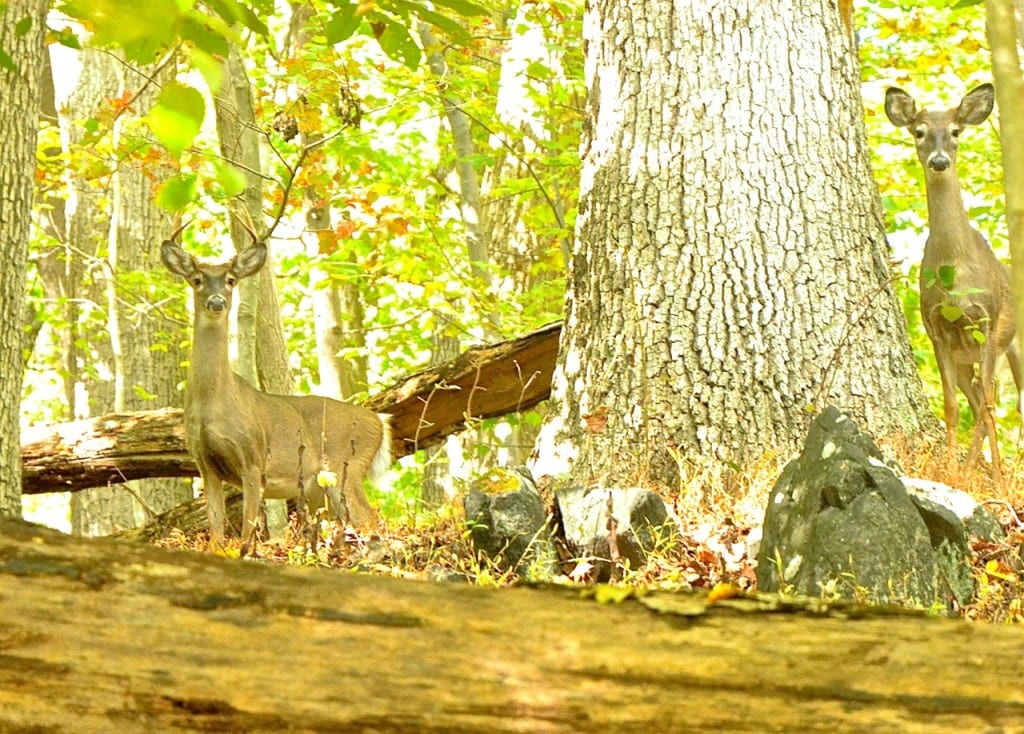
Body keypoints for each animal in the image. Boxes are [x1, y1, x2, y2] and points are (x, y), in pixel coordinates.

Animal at [161, 232, 389, 552]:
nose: (217, 302)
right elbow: (217, 532)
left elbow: (247, 532)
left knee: (371, 521)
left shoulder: (253, 458)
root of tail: (379, 421)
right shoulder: (204, 464)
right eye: (196, 279)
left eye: (230, 280)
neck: (212, 404)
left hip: (348, 466)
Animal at [884, 81, 1019, 481]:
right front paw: (951, 472)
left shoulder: (988, 320)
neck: (955, 272)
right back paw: (975, 468)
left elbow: (990, 406)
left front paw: (1001, 484)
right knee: (974, 398)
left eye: (957, 131)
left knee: (1000, 401)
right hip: (964, 358)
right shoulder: (936, 329)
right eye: (919, 131)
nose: (939, 161)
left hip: (1008, 343)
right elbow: (951, 406)